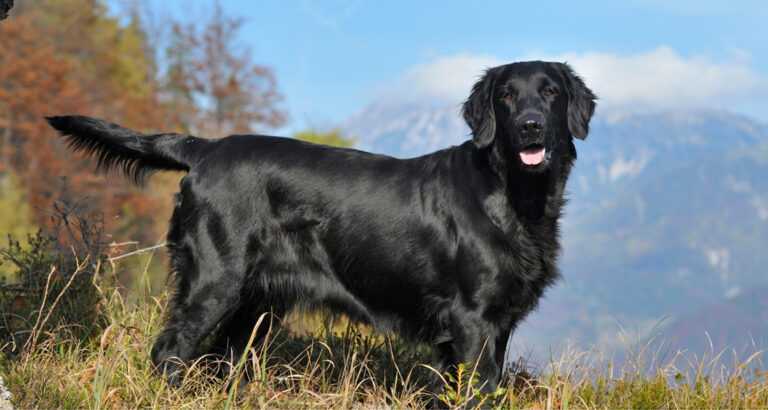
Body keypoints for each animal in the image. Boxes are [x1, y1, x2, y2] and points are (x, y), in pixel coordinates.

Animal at [48, 60, 596, 390]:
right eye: (507, 96)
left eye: (550, 92)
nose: (530, 125)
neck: (513, 195)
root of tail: (205, 148)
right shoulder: (473, 321)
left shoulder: (497, 325)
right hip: (215, 281)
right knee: (170, 351)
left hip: (256, 304)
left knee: (221, 358)